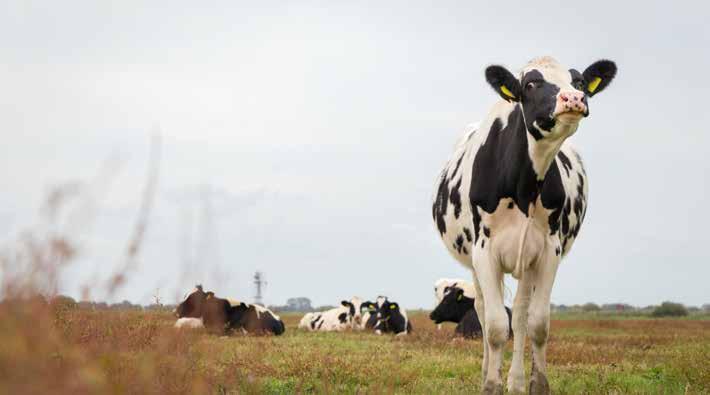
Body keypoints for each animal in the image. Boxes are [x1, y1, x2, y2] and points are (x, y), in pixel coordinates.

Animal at [434, 57, 616, 394]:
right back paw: (486, 372)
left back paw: (515, 382)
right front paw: (490, 385)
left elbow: (537, 323)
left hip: (526, 263)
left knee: (519, 314)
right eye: (530, 84)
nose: (573, 98)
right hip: (474, 262)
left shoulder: (547, 252)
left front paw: (535, 384)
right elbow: (494, 326)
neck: (523, 187)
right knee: (483, 311)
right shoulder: (484, 252)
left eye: (579, 82)